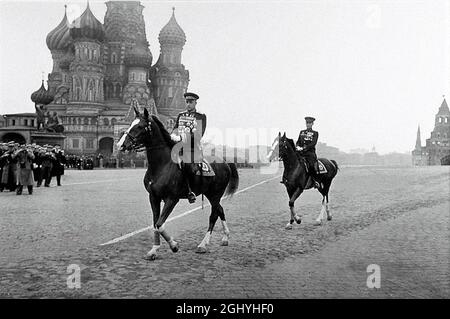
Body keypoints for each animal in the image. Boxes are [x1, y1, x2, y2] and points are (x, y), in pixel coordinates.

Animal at [118, 106, 239, 262]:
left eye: (139, 126)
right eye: (131, 123)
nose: (121, 144)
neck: (161, 165)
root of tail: (225, 162)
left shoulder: (172, 199)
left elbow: (160, 224)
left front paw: (173, 245)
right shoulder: (153, 197)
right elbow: (155, 223)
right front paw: (154, 250)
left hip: (215, 194)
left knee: (214, 215)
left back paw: (203, 244)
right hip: (210, 194)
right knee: (220, 210)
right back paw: (224, 238)